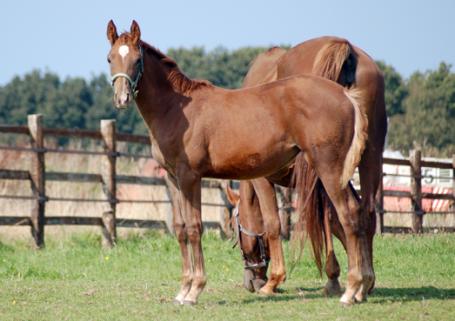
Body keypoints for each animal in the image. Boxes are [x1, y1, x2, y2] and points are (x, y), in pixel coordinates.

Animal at [108, 20, 370, 304]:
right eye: (110, 58)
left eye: (136, 59)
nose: (122, 99)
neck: (176, 109)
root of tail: (346, 95)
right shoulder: (172, 178)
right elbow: (180, 228)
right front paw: (183, 289)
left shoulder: (190, 177)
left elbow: (194, 228)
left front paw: (195, 290)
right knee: (358, 211)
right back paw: (362, 287)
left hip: (329, 168)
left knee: (347, 214)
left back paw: (351, 291)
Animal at [233, 37, 386, 298]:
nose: (250, 281)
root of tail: (343, 48)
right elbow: (335, 220)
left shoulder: (263, 179)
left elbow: (274, 223)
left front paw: (274, 280)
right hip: (367, 157)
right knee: (365, 210)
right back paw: (363, 283)